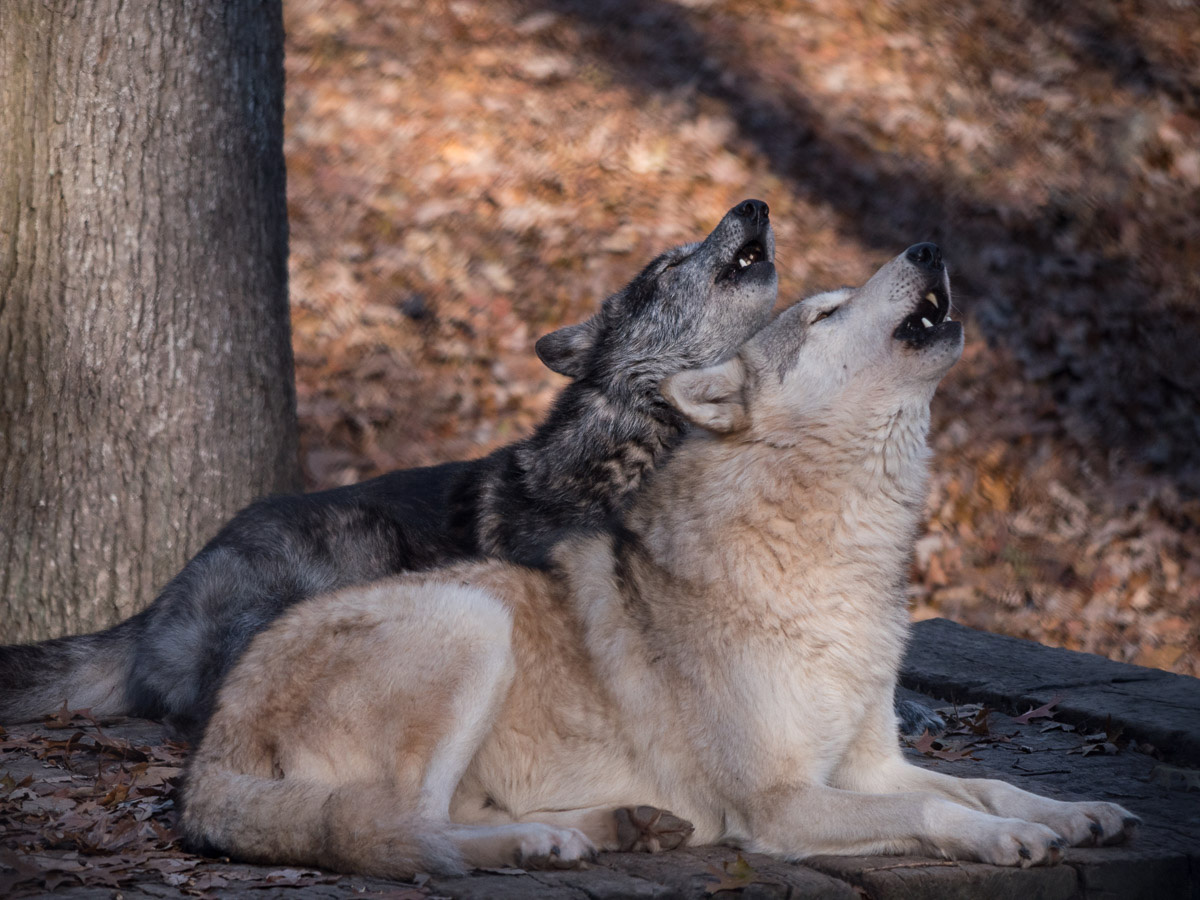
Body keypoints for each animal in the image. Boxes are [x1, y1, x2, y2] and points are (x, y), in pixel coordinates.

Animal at [177, 243, 1132, 878]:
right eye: (824, 313)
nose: (928, 247)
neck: (834, 553)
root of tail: (210, 746)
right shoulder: (783, 803)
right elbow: (940, 804)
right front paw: (1008, 840)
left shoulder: (871, 765)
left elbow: (992, 782)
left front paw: (1076, 812)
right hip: (470, 622)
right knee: (406, 830)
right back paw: (538, 844)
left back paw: (618, 827)